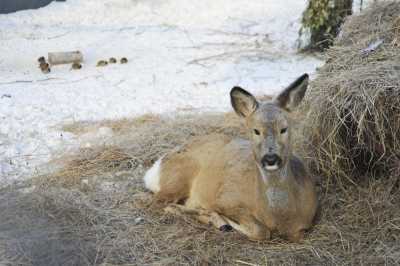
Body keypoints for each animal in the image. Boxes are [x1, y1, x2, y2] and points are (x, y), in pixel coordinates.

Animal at [143, 74, 316, 242]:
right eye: (256, 130)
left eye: (284, 129)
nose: (270, 158)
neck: (279, 217)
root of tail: (155, 168)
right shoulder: (226, 200)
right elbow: (260, 231)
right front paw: (221, 219)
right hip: (178, 177)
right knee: (158, 203)